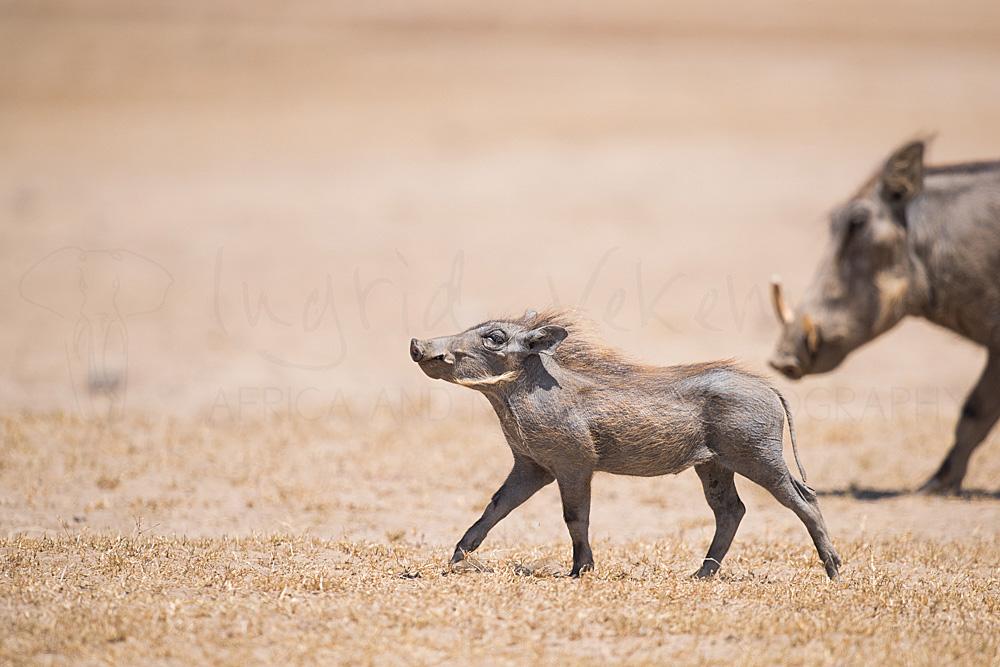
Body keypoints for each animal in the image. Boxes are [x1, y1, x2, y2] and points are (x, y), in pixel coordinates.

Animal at [410, 309, 841, 579]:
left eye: (495, 338)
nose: (417, 344)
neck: (519, 393)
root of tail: (767, 387)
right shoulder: (531, 467)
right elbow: (494, 508)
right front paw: (454, 560)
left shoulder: (573, 465)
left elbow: (575, 517)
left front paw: (580, 571)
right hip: (714, 465)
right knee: (731, 511)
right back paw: (700, 575)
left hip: (759, 459)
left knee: (804, 500)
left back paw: (834, 570)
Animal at [769, 140, 1000, 494]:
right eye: (834, 221)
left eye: (858, 223)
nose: (782, 359)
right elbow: (977, 411)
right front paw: (936, 485)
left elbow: (976, 409)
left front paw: (934, 486)